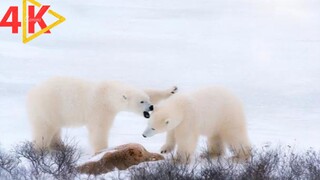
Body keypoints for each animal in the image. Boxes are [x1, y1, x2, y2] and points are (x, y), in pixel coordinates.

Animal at [27, 76, 178, 153]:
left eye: (147, 99)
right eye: (141, 101)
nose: (151, 107)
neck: (107, 94)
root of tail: (31, 93)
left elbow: (151, 90)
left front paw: (172, 90)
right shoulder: (100, 108)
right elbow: (99, 129)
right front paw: (103, 150)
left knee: (55, 129)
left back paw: (59, 145)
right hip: (47, 108)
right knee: (44, 129)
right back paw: (40, 150)